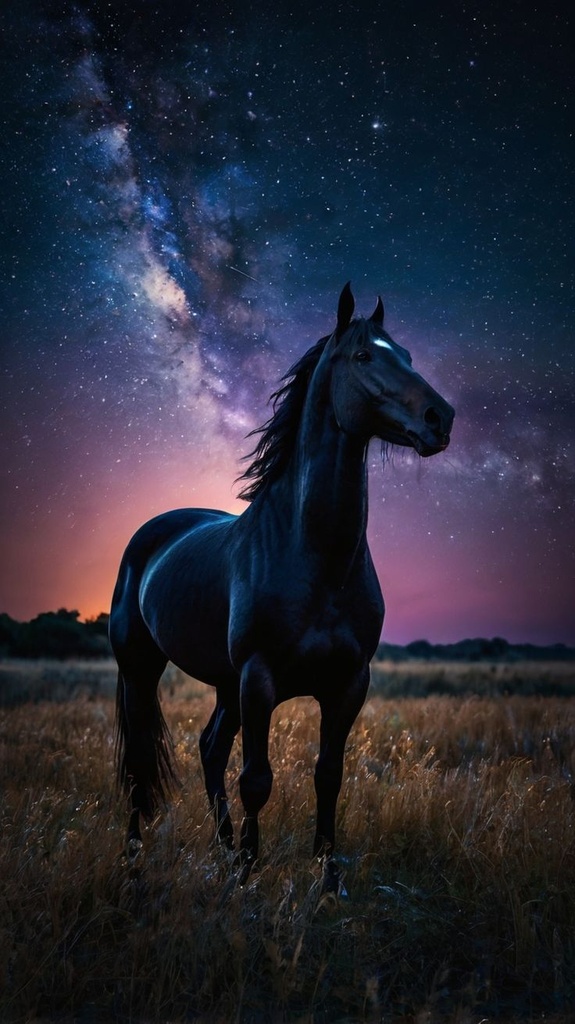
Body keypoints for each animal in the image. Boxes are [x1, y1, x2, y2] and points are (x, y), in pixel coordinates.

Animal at [109, 283, 454, 889]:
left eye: (408, 356)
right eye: (363, 356)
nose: (442, 418)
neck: (316, 555)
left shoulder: (348, 683)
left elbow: (328, 775)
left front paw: (328, 876)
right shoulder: (260, 677)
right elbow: (257, 779)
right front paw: (249, 876)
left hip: (224, 685)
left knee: (209, 748)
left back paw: (222, 850)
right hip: (142, 671)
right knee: (141, 766)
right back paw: (137, 859)